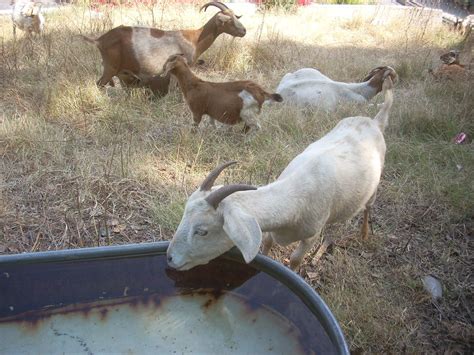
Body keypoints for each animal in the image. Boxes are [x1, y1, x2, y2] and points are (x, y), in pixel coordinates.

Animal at [81, 1, 244, 96]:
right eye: (228, 20)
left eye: (235, 17)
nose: (244, 31)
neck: (195, 38)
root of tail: (100, 40)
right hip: (111, 67)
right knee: (99, 84)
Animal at [167, 73, 396, 272]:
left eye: (202, 231)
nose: (169, 257)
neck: (295, 194)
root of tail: (374, 122)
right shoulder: (270, 229)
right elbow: (267, 244)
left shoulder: (311, 236)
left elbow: (295, 260)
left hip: (375, 183)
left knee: (368, 207)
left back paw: (364, 234)